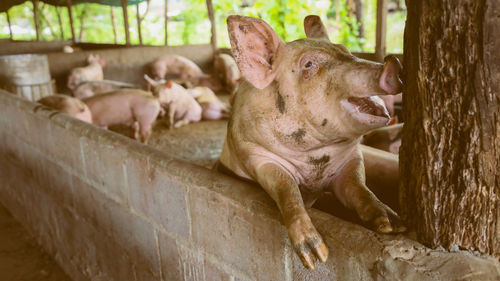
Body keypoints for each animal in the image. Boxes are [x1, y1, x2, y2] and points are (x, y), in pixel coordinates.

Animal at [217, 15, 404, 270]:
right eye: (309, 64)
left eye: (346, 51)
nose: (392, 62)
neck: (314, 158)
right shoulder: (256, 156)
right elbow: (287, 189)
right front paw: (315, 257)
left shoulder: (351, 160)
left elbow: (359, 189)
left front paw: (394, 226)